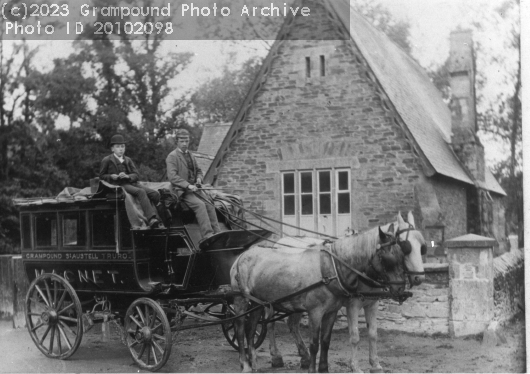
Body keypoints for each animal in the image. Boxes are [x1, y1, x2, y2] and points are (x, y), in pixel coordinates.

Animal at [228, 224, 408, 372]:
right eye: (387, 259)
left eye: (402, 255)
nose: (401, 290)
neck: (331, 269)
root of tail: (242, 256)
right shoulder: (317, 311)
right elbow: (315, 343)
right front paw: (313, 369)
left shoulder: (332, 311)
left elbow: (326, 341)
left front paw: (323, 368)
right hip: (241, 300)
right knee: (240, 329)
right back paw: (246, 364)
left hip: (257, 304)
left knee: (251, 329)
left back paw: (254, 362)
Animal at [268, 212, 424, 372]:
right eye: (406, 247)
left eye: (421, 247)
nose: (419, 277)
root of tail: (278, 243)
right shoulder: (352, 305)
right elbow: (355, 336)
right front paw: (355, 366)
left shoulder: (372, 304)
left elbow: (373, 334)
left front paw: (375, 364)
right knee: (270, 324)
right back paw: (276, 356)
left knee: (292, 324)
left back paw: (304, 356)